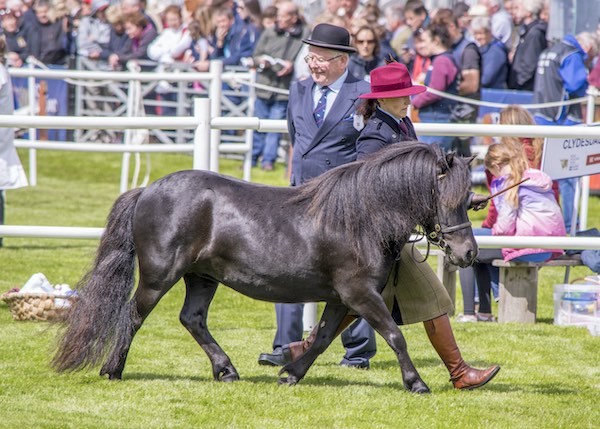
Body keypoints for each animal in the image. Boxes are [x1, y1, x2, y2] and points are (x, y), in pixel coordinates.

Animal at [52, 142, 478, 392]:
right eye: (448, 199)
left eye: (469, 200)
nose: (469, 253)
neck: (360, 218)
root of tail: (148, 190)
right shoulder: (360, 294)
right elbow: (395, 335)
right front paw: (416, 383)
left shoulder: (342, 298)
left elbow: (322, 337)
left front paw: (290, 373)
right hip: (159, 276)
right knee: (133, 315)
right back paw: (113, 369)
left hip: (202, 278)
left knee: (192, 319)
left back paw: (226, 370)